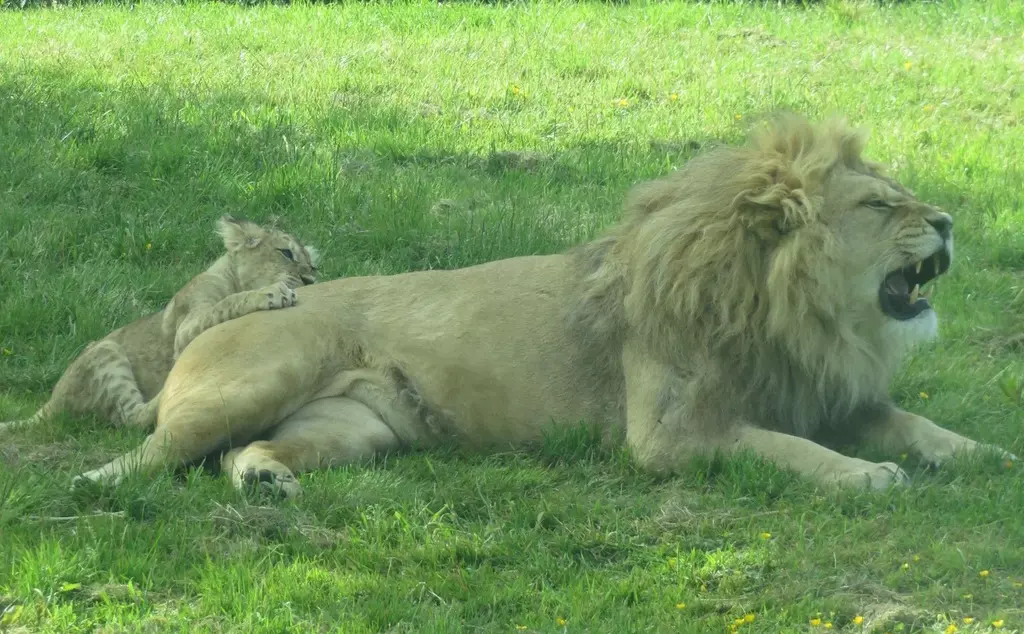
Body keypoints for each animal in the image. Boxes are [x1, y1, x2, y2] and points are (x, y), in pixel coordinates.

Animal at [0, 215, 319, 435]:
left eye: (314, 265)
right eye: (286, 253)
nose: (311, 280)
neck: (230, 276)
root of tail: (51, 402)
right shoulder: (186, 329)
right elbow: (228, 303)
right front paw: (272, 293)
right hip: (105, 351)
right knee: (132, 418)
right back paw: (170, 393)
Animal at [72, 114, 1013, 498]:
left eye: (907, 196)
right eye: (881, 206)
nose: (948, 221)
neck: (802, 314)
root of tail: (252, 300)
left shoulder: (831, 391)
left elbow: (919, 425)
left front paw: (989, 456)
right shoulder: (671, 435)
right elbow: (785, 449)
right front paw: (865, 476)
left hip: (357, 432)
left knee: (242, 454)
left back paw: (265, 480)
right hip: (260, 376)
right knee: (155, 451)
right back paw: (96, 487)